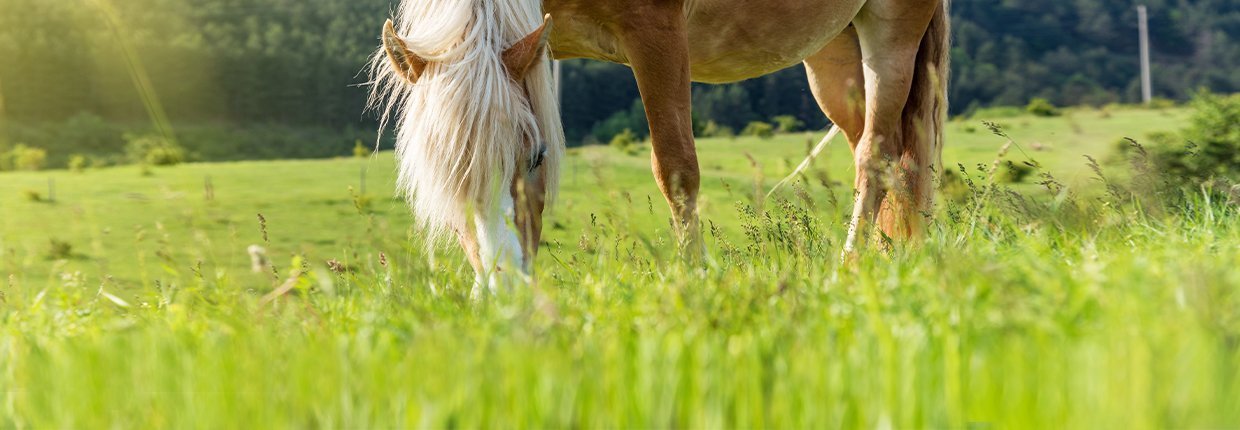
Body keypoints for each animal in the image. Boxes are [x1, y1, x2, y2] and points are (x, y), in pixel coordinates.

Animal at [367, 0, 947, 289]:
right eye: (441, 176)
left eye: (538, 157)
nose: (504, 291)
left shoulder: (656, 31)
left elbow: (676, 170)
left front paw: (693, 280)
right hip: (832, 49)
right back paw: (898, 256)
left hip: (891, 28)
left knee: (877, 153)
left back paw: (852, 266)